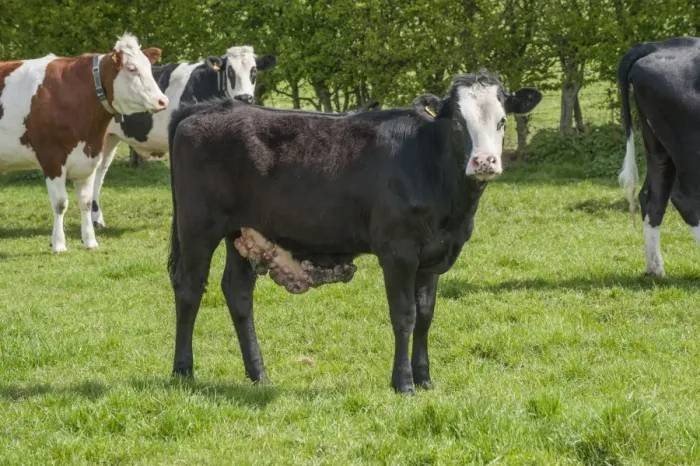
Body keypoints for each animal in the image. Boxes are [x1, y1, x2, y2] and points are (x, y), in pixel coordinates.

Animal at [0, 33, 169, 252]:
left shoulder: (88, 157)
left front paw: (90, 241)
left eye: (149, 67)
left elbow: (86, 202)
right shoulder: (51, 158)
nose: (162, 101)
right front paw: (58, 244)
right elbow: (60, 203)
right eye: (132, 69)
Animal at [90, 46, 277, 229]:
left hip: (111, 138)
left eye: (254, 70)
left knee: (100, 172)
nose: (244, 97)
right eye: (230, 70)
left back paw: (97, 220)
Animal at [165, 70, 542, 394]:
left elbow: (425, 316)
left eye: (502, 120)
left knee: (238, 293)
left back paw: (260, 375)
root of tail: (207, 108)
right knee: (190, 288)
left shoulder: (432, 255)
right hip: (198, 226)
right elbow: (404, 316)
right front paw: (403, 383)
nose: (485, 162)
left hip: (242, 231)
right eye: (459, 123)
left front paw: (425, 378)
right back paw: (183, 371)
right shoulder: (398, 252)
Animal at [618, 37, 700, 277]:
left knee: (652, 196)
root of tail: (657, 45)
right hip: (690, 143)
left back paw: (655, 268)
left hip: (657, 146)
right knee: (686, 198)